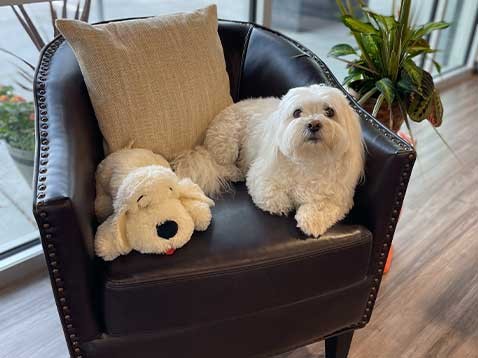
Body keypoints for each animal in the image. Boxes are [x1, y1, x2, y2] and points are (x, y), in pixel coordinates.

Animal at [177, 84, 364, 238]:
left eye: (330, 112)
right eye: (297, 113)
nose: (314, 124)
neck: (309, 160)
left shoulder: (339, 198)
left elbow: (323, 207)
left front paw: (311, 221)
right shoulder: (261, 178)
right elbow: (275, 199)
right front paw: (287, 205)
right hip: (226, 140)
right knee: (219, 164)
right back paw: (235, 172)